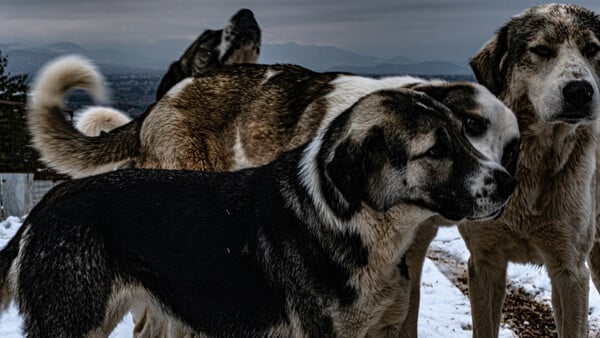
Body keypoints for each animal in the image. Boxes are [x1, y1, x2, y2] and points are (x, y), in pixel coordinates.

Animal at [0, 88, 516, 336]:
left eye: (463, 132)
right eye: (436, 150)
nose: (510, 182)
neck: (355, 226)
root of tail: (45, 207)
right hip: (74, 321)